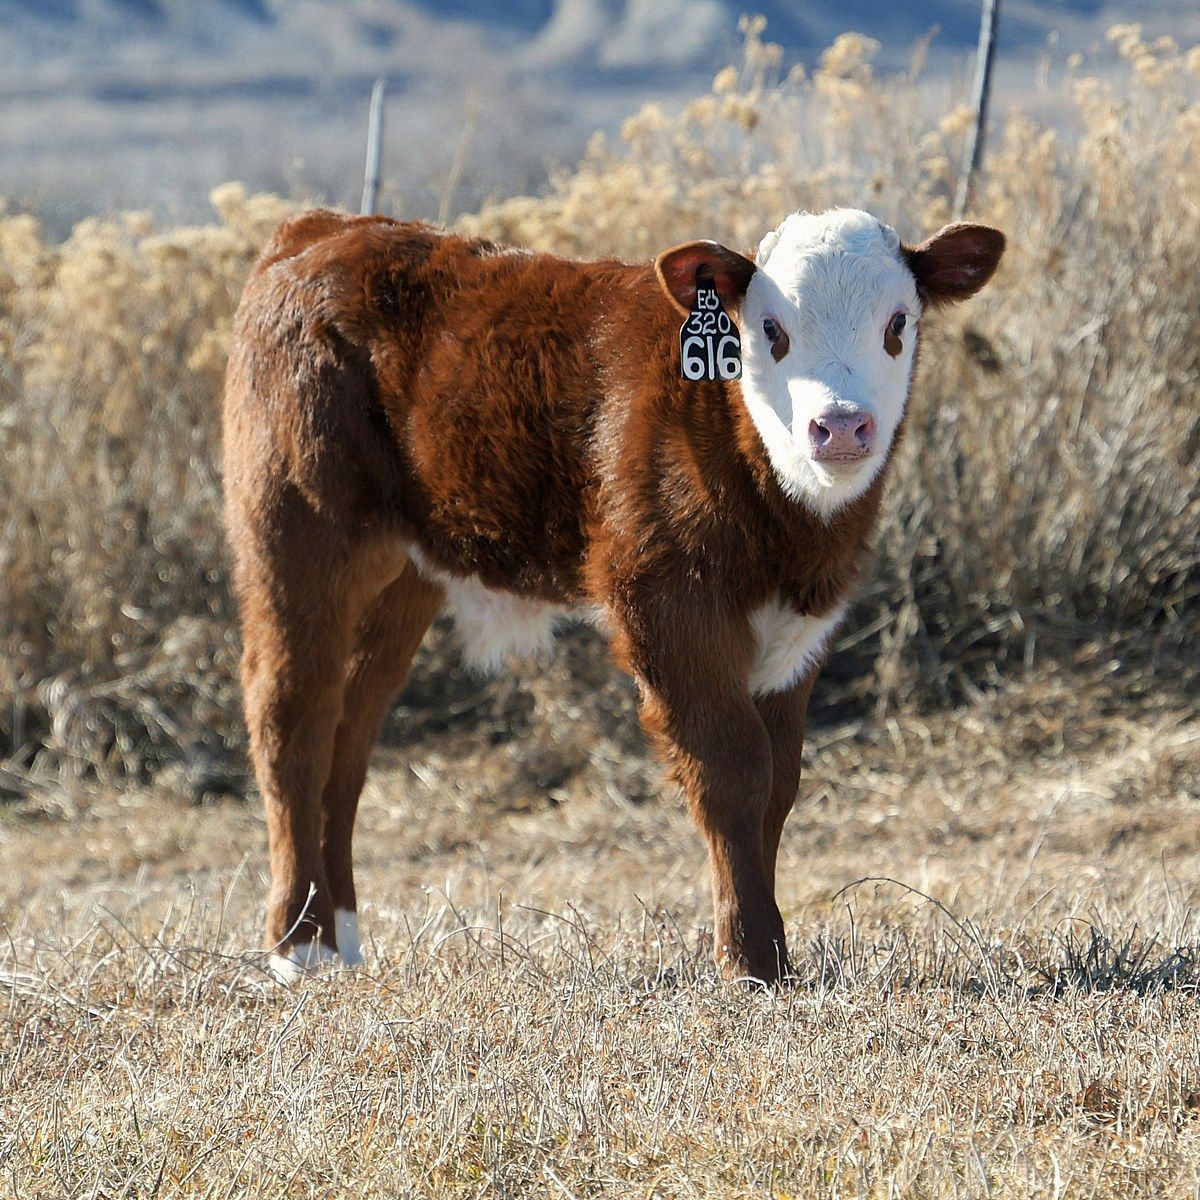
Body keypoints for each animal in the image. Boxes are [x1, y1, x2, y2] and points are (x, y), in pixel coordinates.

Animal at [222, 206, 1004, 985]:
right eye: (771, 330)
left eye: (897, 323)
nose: (839, 425)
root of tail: (323, 230)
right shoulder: (665, 599)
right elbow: (732, 769)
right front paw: (752, 958)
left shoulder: (802, 629)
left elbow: (779, 782)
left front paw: (766, 947)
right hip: (297, 524)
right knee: (293, 712)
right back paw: (299, 943)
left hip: (403, 571)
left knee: (351, 728)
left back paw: (342, 940)